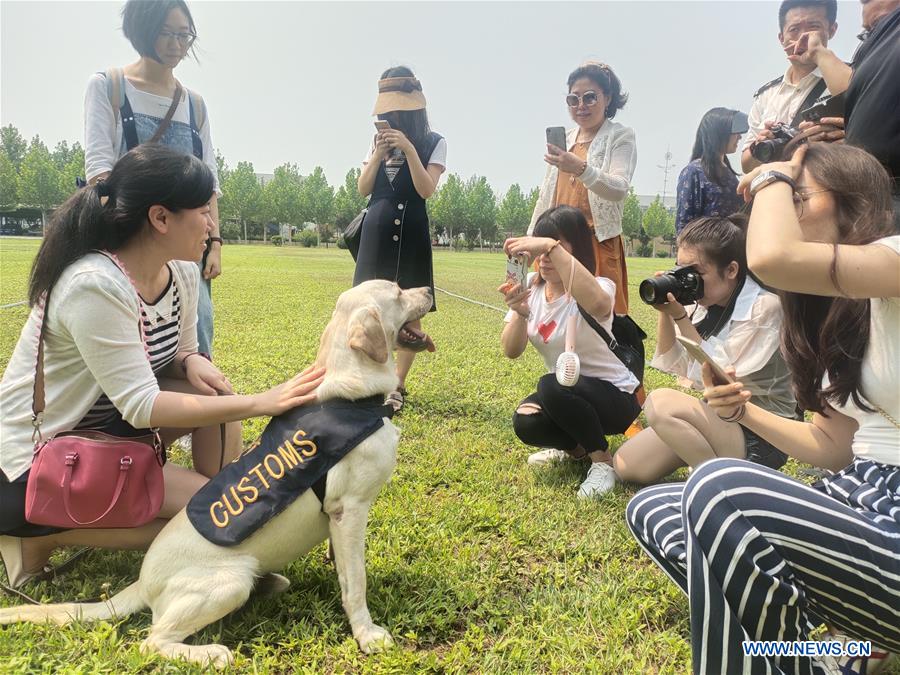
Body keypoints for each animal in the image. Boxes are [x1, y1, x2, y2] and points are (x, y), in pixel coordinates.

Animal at [0, 282, 434, 672]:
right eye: (398, 292)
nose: (429, 290)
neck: (352, 396)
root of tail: (142, 580)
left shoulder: (340, 521)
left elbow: (345, 568)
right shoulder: (350, 509)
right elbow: (356, 582)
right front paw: (367, 634)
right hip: (229, 581)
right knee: (152, 641)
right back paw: (211, 654)